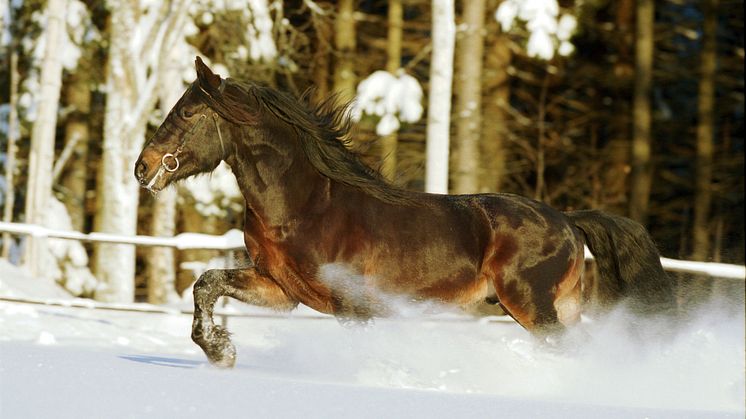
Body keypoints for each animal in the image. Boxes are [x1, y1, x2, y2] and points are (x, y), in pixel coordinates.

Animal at [134, 57, 676, 370]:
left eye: (186, 113)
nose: (142, 168)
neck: (306, 207)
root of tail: (568, 220)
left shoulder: (353, 306)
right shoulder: (280, 289)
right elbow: (206, 284)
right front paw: (220, 352)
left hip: (531, 305)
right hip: (559, 306)